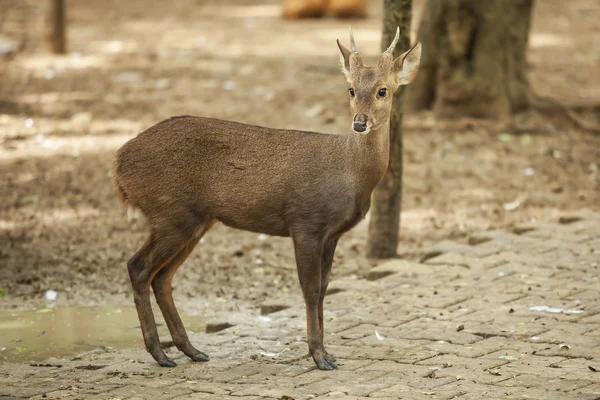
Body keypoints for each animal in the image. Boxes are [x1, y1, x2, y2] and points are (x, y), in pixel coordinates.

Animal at [113, 28, 422, 370]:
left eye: (383, 90)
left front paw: (328, 353)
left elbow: (324, 288)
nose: (359, 123)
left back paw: (191, 350)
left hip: (194, 220)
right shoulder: (306, 222)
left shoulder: (332, 234)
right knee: (139, 267)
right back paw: (160, 353)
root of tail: (118, 163)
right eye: (351, 89)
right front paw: (318, 356)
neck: (351, 173)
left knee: (162, 277)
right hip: (169, 211)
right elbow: (310, 289)